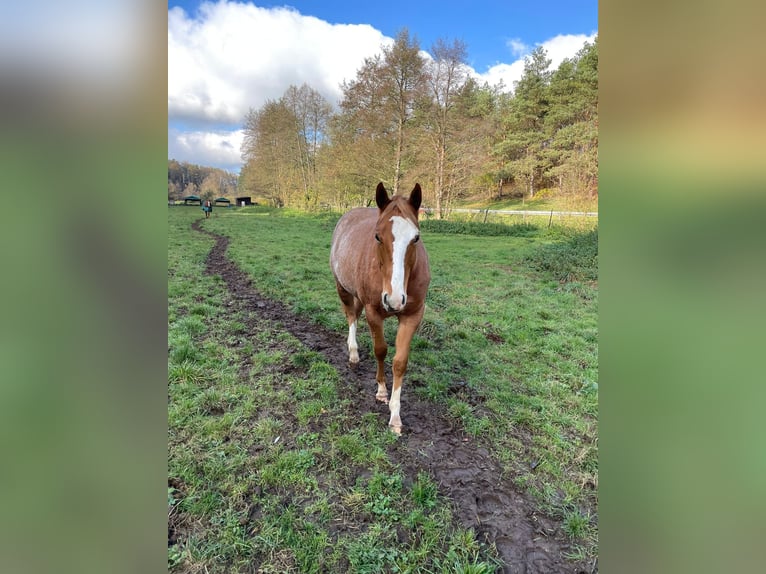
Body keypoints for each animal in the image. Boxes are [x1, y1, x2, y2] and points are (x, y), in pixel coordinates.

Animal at [328, 182, 432, 434]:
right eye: (377, 236)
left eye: (416, 238)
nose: (393, 300)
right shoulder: (374, 312)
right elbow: (380, 350)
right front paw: (382, 391)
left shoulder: (412, 316)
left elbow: (400, 362)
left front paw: (395, 415)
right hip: (342, 289)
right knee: (351, 316)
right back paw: (353, 353)